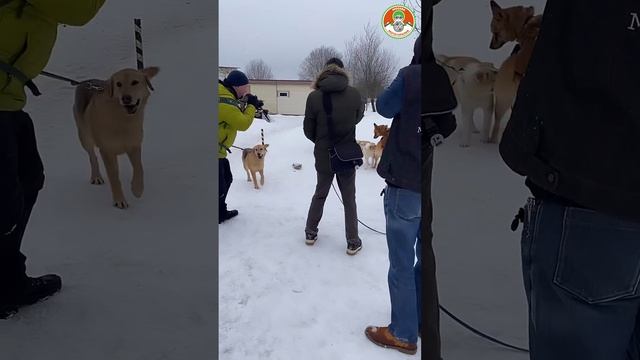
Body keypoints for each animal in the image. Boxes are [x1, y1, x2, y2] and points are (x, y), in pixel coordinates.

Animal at [73, 66, 160, 210]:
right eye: (119, 84)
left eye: (135, 82)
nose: (126, 98)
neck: (122, 120)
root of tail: (85, 82)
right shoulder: (106, 150)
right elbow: (114, 177)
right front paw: (119, 201)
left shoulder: (134, 145)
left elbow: (139, 168)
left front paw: (137, 189)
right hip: (84, 137)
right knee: (92, 157)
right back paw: (96, 176)